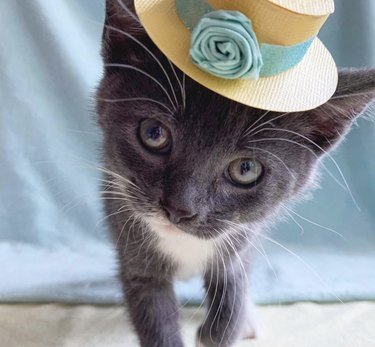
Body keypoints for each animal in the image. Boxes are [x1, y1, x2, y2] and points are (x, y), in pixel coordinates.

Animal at [96, 1, 375, 346]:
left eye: (245, 169)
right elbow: (152, 312)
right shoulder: (135, 251)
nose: (179, 209)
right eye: (154, 133)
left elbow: (233, 291)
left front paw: (221, 329)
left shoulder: (241, 241)